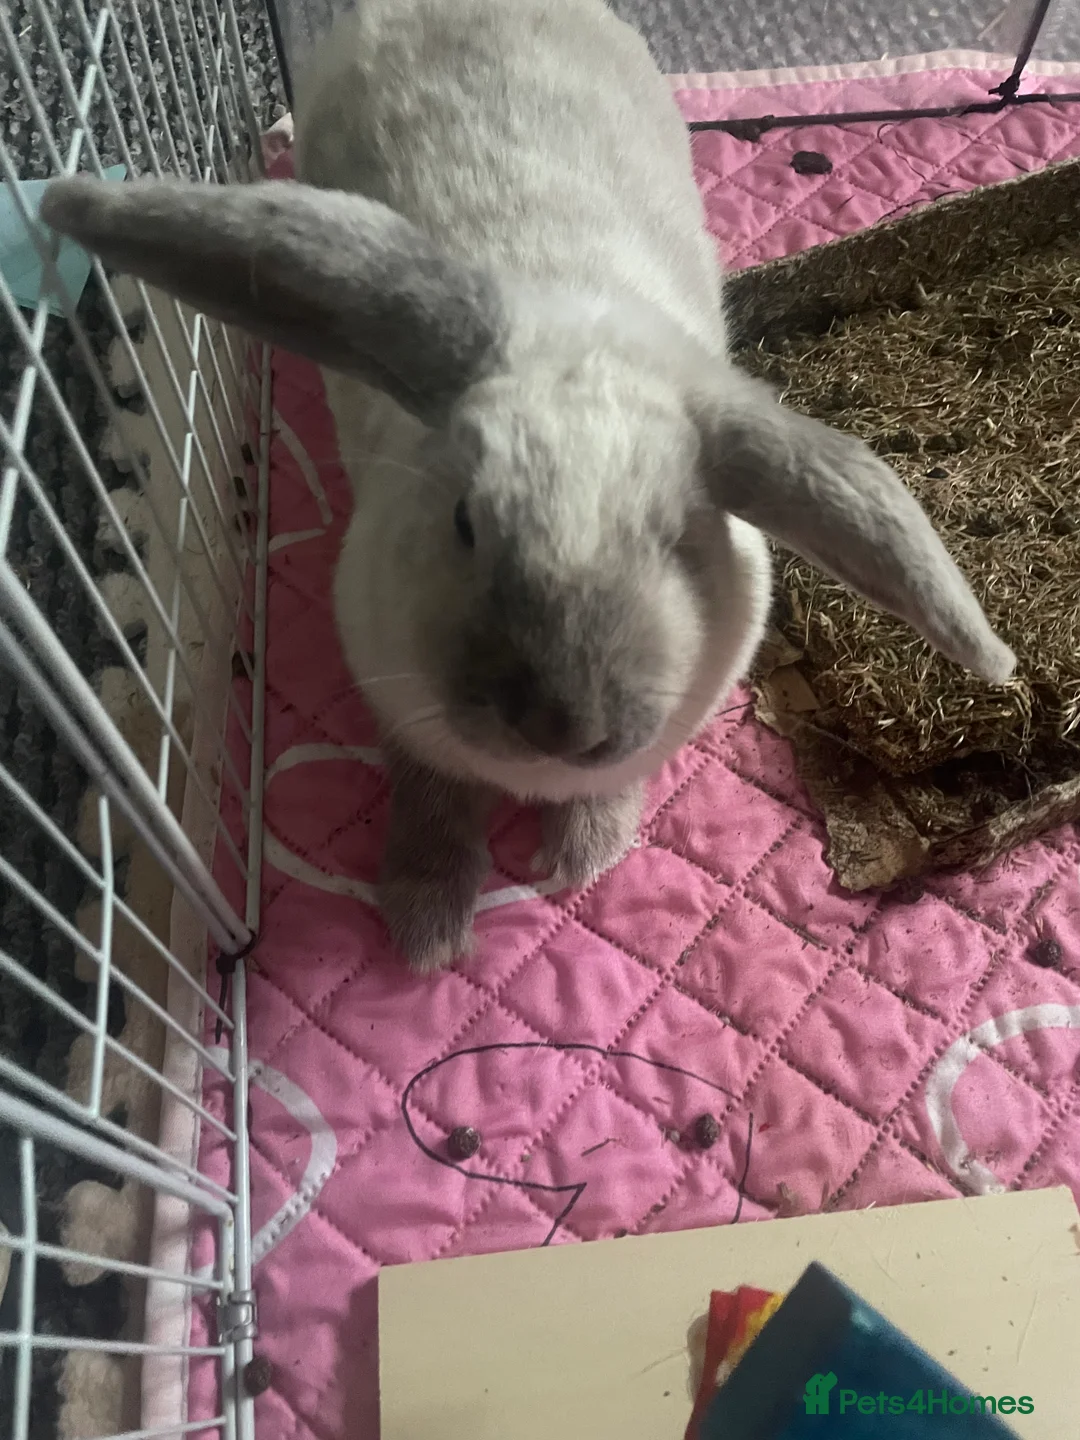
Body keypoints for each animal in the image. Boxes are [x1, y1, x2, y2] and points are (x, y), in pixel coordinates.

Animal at [42, 0, 1014, 973]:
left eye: (679, 540)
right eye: (465, 522)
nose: (562, 726)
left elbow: (607, 792)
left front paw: (584, 853)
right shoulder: (405, 714)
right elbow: (431, 805)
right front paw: (427, 926)